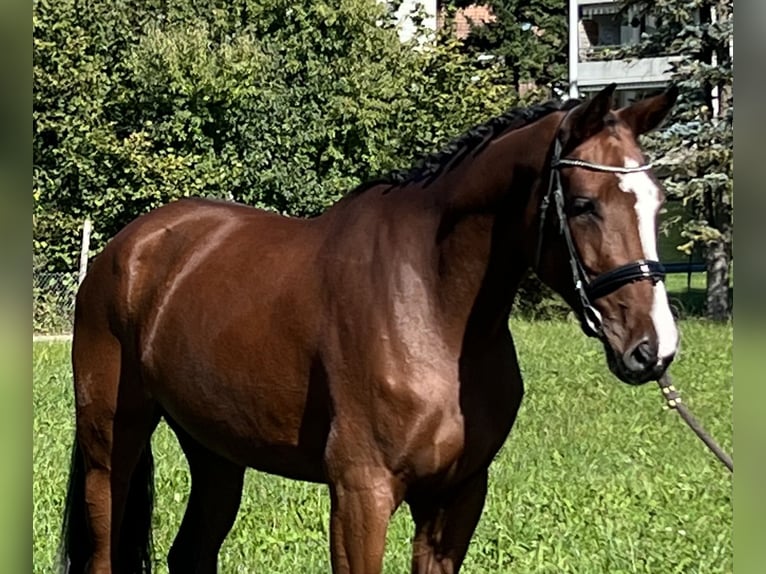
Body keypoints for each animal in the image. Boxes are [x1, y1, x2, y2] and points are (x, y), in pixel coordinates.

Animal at [63, 82, 680, 574]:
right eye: (583, 205)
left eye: (658, 203)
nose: (654, 347)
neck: (432, 307)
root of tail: (127, 246)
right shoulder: (362, 492)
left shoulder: (457, 497)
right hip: (111, 445)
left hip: (215, 451)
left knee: (191, 552)